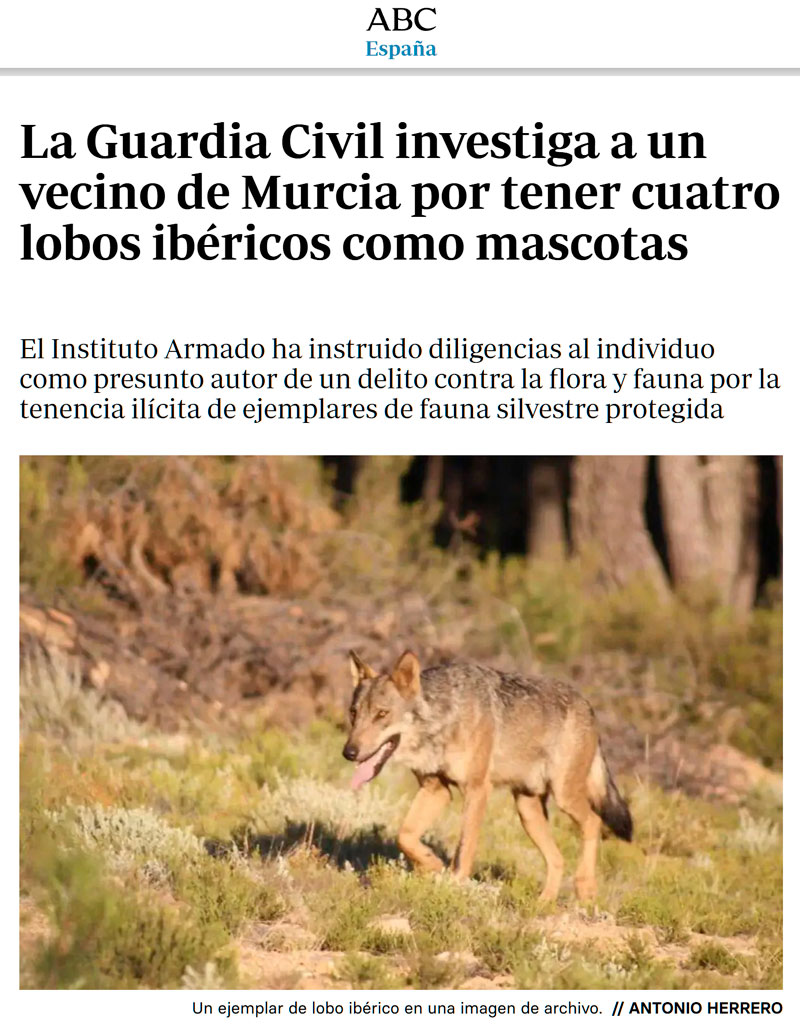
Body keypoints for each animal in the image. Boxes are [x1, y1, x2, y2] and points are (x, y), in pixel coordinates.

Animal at [342, 650, 632, 900]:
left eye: (382, 714)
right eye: (354, 713)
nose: (349, 752)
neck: (444, 718)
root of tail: (588, 706)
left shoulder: (477, 789)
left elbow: (464, 849)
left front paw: (454, 887)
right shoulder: (437, 790)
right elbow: (406, 836)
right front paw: (432, 866)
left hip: (564, 796)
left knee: (594, 822)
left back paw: (585, 887)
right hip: (527, 811)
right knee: (558, 858)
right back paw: (544, 902)